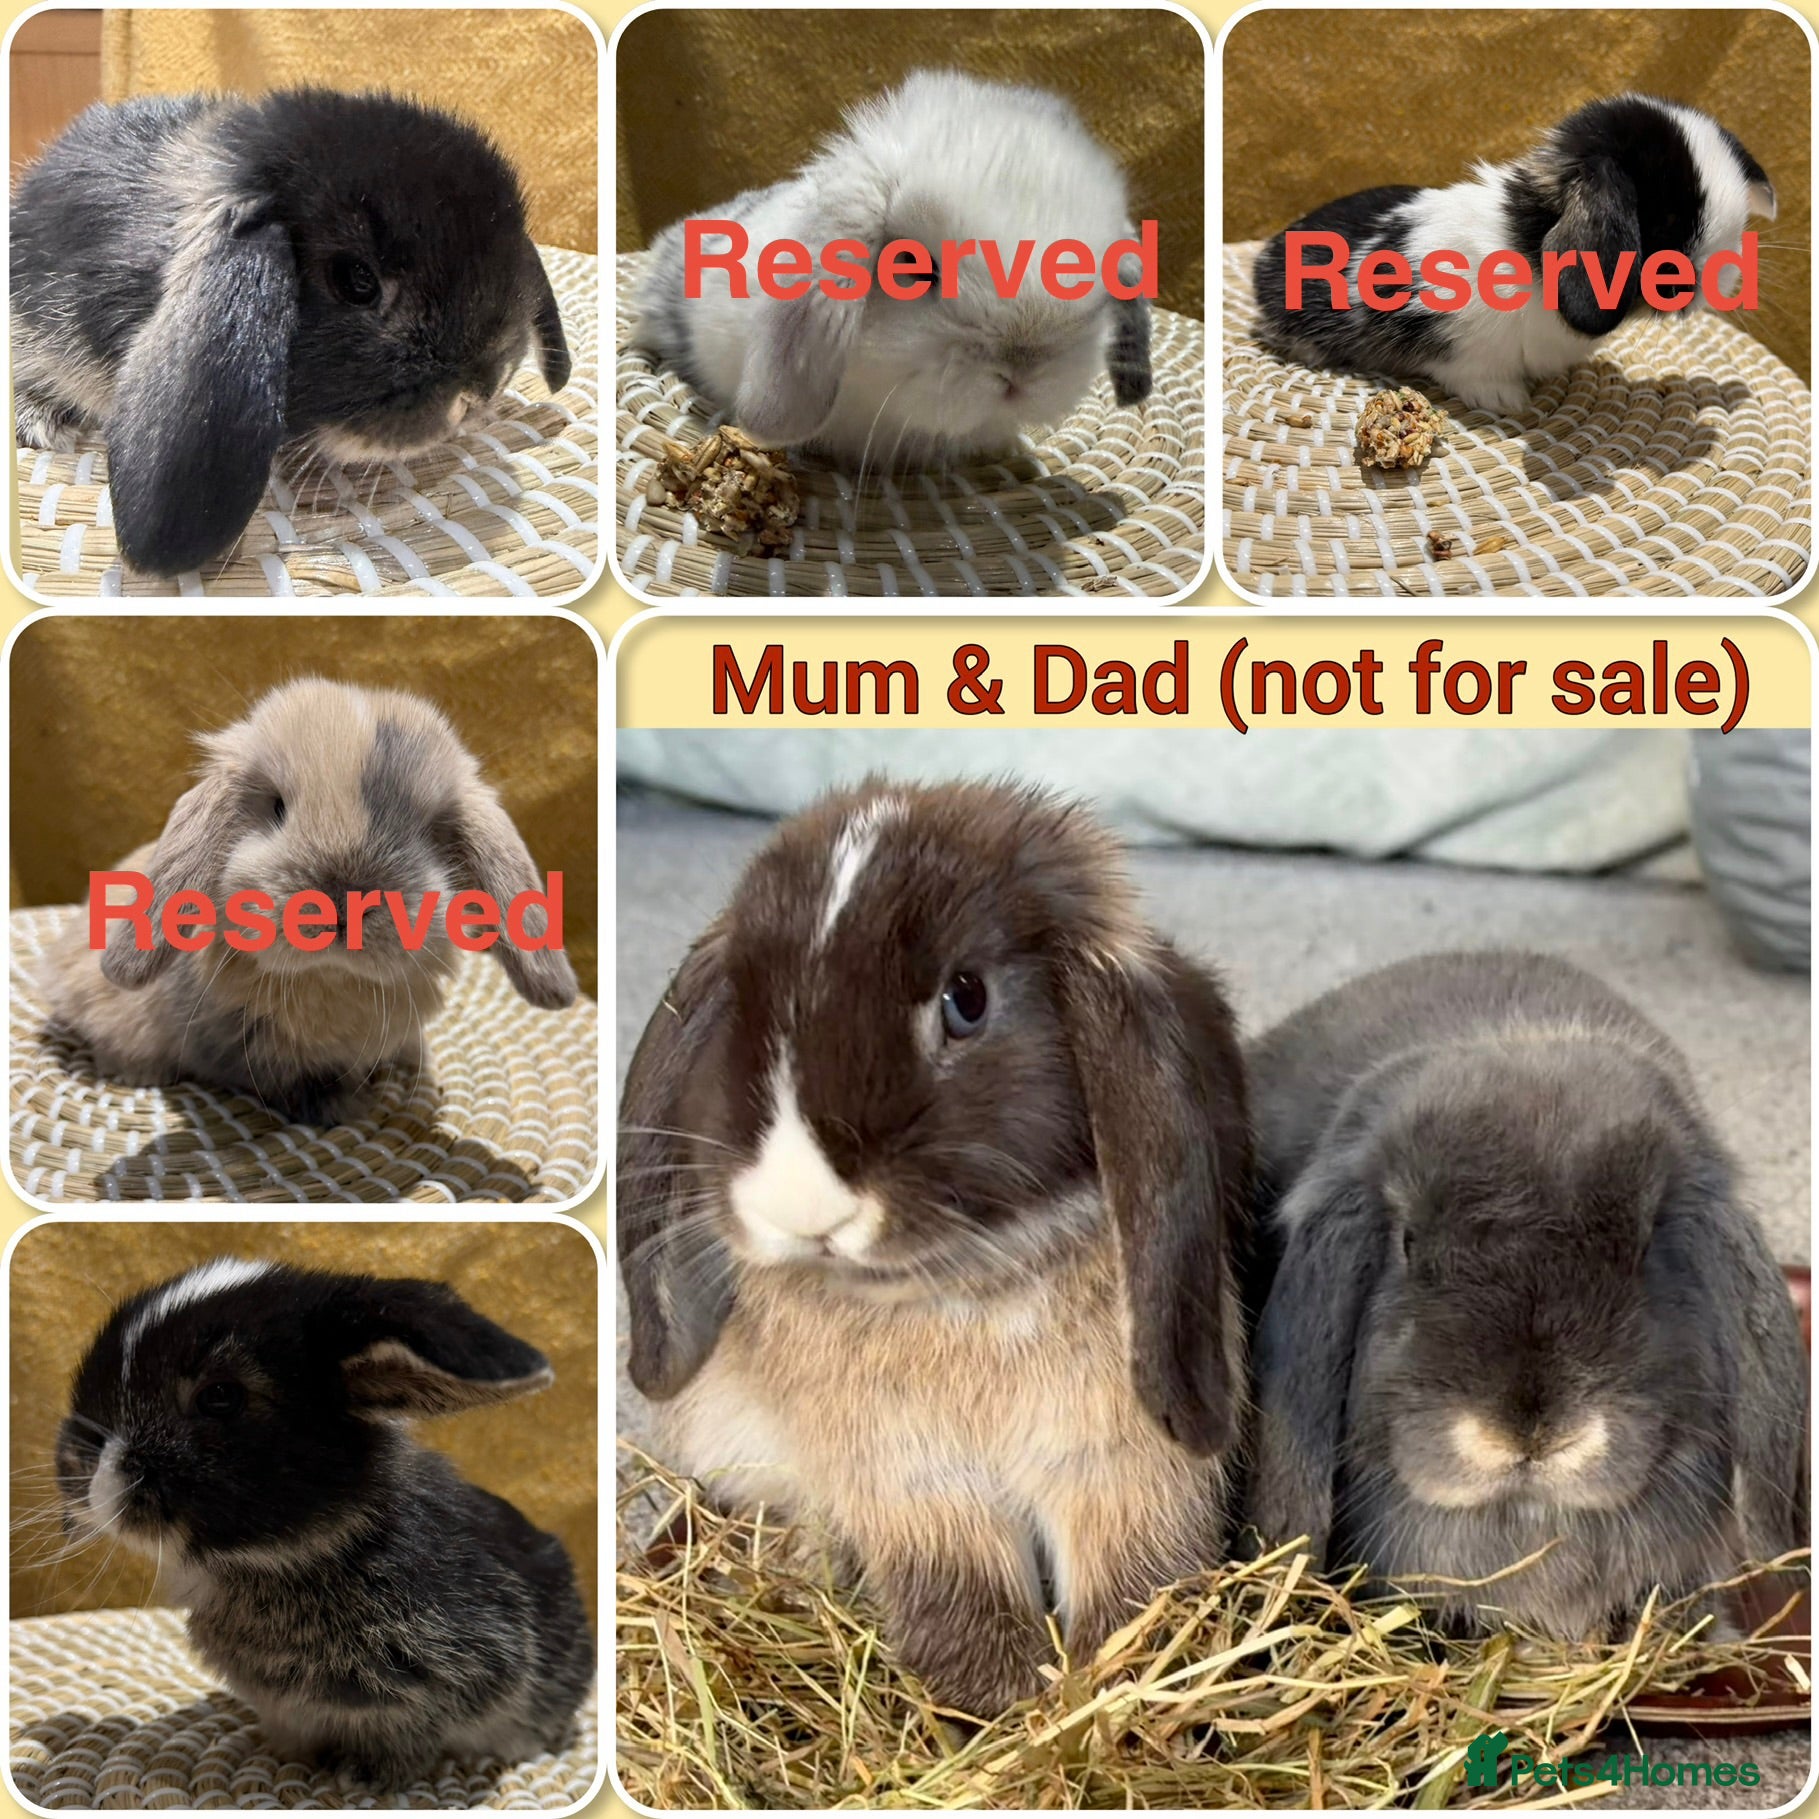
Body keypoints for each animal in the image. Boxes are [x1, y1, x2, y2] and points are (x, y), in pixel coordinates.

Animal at [44, 677, 578, 1127]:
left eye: (430, 832)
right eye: (277, 807)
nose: (342, 904)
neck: (332, 978)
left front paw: (406, 1063)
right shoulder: (243, 1050)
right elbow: (292, 1082)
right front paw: (348, 1107)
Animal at [618, 779, 1251, 1716]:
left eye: (967, 998)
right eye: (743, 1004)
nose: (801, 1201)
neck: (959, 1288)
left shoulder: (1123, 1472)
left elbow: (1131, 1588)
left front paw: (1107, 1697)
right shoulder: (917, 1492)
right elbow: (962, 1601)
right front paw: (1003, 1707)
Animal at [1251, 95, 1776, 415]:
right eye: (1668, 219)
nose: (1728, 275)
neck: (1528, 242)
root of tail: (1265, 256)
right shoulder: (1457, 343)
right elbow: (1471, 371)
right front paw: (1507, 402)